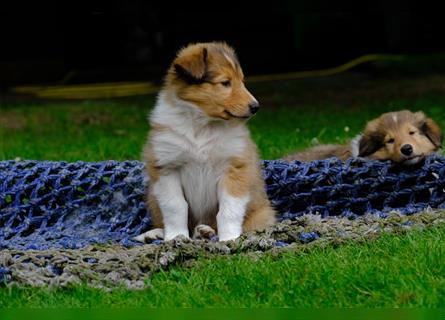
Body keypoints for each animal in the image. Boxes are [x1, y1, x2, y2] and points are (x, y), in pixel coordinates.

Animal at [134, 42, 276, 242]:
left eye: (242, 80)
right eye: (225, 82)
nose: (256, 107)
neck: (202, 125)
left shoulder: (235, 168)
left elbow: (228, 209)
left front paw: (229, 240)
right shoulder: (167, 167)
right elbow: (175, 205)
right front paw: (176, 237)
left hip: (261, 213)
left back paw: (205, 231)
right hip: (153, 197)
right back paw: (156, 234)